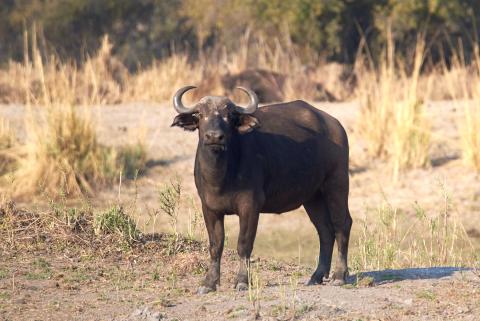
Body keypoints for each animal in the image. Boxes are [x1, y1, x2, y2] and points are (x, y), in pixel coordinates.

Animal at [171, 85, 350, 292]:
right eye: (200, 114)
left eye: (229, 116)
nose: (214, 136)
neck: (221, 176)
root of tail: (335, 126)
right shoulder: (209, 208)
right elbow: (216, 246)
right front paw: (209, 283)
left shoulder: (250, 207)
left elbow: (244, 244)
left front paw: (242, 280)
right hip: (313, 197)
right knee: (325, 231)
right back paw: (317, 276)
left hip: (337, 184)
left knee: (342, 224)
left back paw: (340, 275)